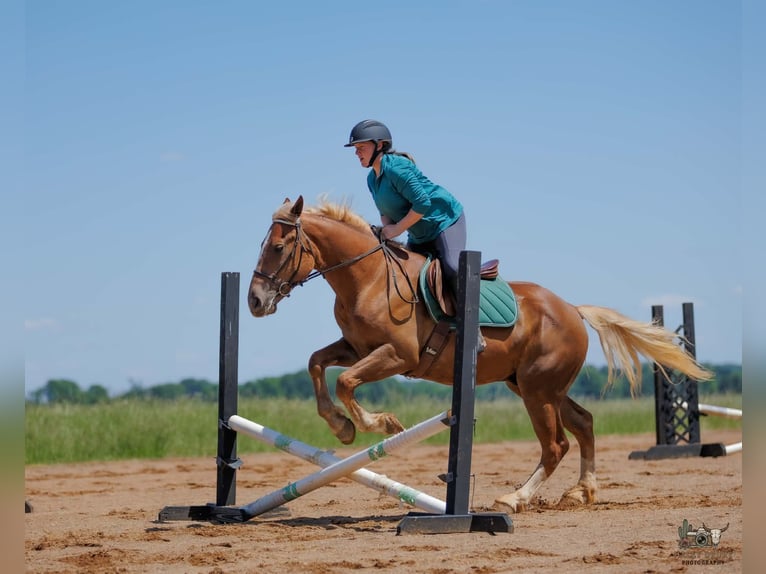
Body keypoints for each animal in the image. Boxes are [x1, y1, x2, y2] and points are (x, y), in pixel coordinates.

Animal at [247, 196, 712, 512]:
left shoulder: (396, 356)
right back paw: (582, 491)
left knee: (556, 444)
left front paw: (379, 424)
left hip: (537, 390)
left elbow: (345, 381)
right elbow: (317, 363)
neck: (368, 278)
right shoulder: (356, 348)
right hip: (534, 386)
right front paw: (341, 427)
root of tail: (572, 309)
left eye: (279, 247)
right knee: (583, 424)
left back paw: (514, 498)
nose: (254, 301)